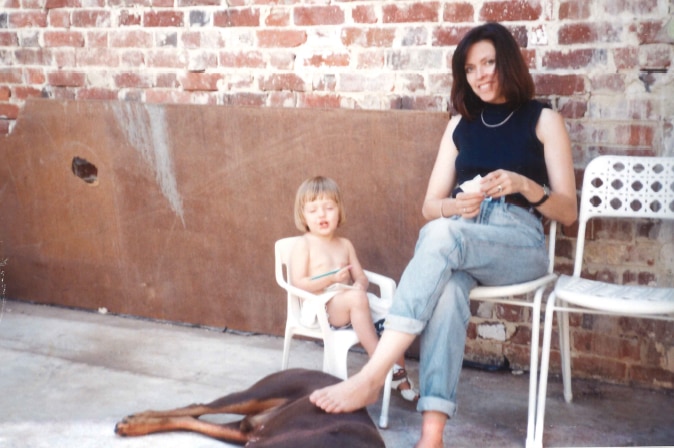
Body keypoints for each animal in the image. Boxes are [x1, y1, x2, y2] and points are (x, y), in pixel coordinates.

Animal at [114, 370, 384, 446]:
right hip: (259, 394)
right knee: (198, 406)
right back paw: (137, 419)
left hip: (247, 431)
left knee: (194, 419)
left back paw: (135, 424)